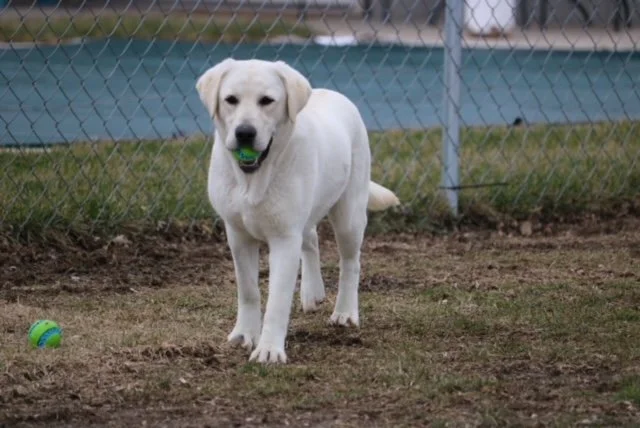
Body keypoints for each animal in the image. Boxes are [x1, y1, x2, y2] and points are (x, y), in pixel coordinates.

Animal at [196, 58, 400, 364]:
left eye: (267, 101)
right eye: (230, 100)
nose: (245, 133)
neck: (253, 179)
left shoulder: (284, 240)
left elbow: (277, 300)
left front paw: (269, 350)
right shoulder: (238, 236)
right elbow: (248, 291)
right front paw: (244, 335)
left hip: (348, 216)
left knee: (350, 263)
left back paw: (345, 313)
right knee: (312, 239)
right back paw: (313, 293)